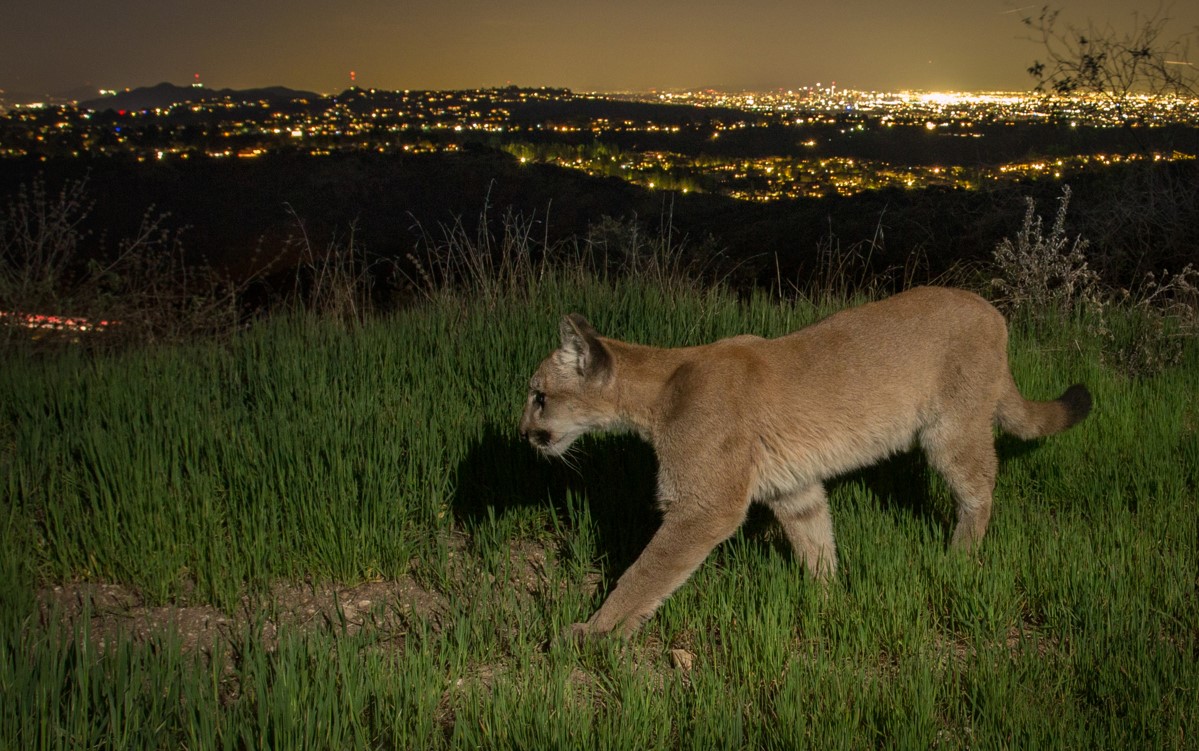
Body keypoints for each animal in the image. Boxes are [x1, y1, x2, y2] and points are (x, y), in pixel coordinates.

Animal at [520, 283, 1093, 633]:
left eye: (540, 396)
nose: (523, 433)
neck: (660, 388)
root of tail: (992, 310)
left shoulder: (704, 507)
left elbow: (645, 574)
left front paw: (592, 633)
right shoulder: (793, 488)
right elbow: (816, 540)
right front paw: (829, 601)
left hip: (951, 430)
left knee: (980, 489)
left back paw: (958, 559)